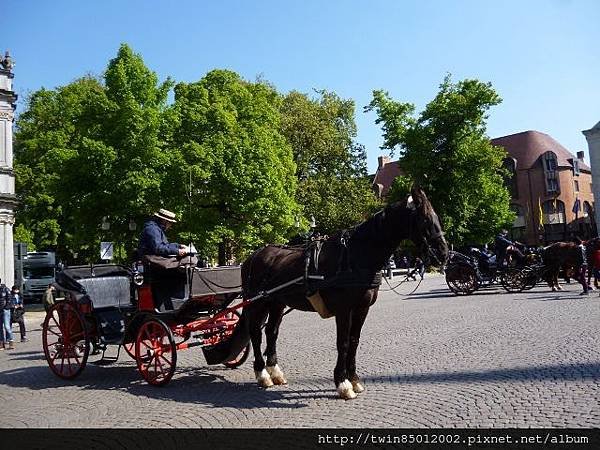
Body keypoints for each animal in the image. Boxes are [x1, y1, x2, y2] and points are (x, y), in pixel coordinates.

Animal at [205, 186, 446, 400]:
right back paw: (262, 374)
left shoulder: (362, 308)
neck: (356, 255)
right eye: (425, 220)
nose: (443, 253)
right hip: (257, 302)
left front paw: (354, 379)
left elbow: (354, 341)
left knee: (271, 332)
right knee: (255, 333)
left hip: (276, 302)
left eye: (436, 217)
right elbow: (343, 343)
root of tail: (253, 256)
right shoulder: (344, 310)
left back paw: (275, 372)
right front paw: (343, 383)